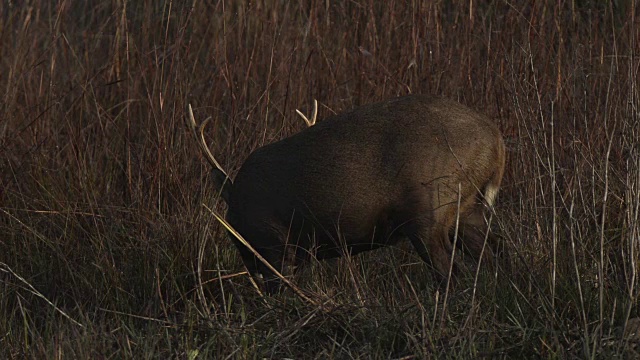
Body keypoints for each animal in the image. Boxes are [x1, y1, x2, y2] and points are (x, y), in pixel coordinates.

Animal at [188, 94, 508, 294]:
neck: (236, 207)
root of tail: (496, 141)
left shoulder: (272, 244)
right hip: (467, 210)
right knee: (494, 254)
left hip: (429, 207)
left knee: (449, 271)